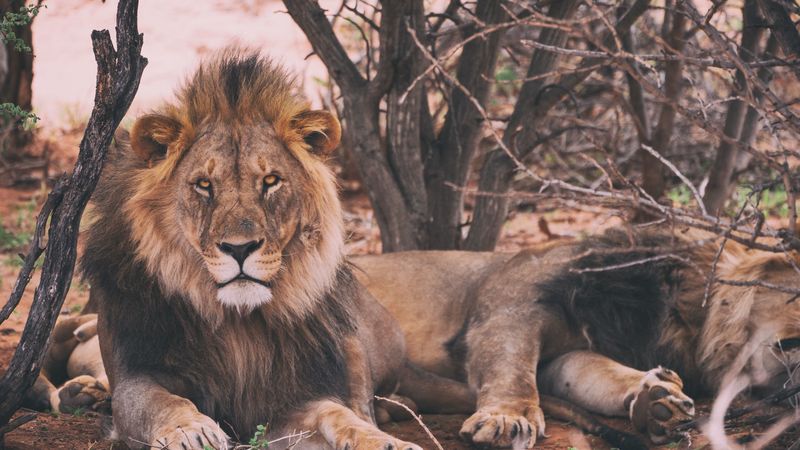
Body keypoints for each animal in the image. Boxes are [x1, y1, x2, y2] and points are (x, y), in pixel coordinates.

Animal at [55, 50, 422, 450]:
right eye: (203, 185)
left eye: (271, 181)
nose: (240, 248)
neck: (237, 324)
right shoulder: (136, 375)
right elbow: (163, 402)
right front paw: (192, 432)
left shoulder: (291, 398)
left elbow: (337, 413)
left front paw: (384, 442)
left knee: (363, 400)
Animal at [353, 228, 800, 448]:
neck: (686, 317)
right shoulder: (514, 300)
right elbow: (511, 365)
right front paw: (507, 418)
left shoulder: (573, 352)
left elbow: (597, 376)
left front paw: (659, 401)